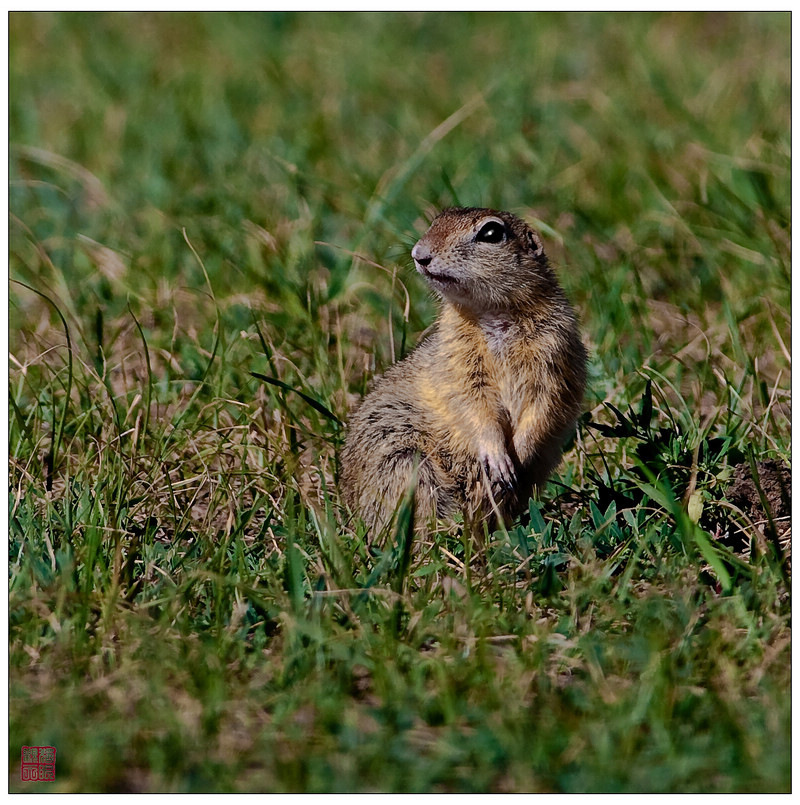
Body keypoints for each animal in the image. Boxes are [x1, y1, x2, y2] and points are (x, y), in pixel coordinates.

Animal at [340, 207, 588, 532]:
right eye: (436, 220)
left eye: (492, 233)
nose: (419, 254)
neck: (493, 314)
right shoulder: (457, 361)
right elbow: (472, 406)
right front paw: (499, 458)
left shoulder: (554, 358)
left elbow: (543, 409)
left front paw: (519, 457)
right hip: (402, 459)